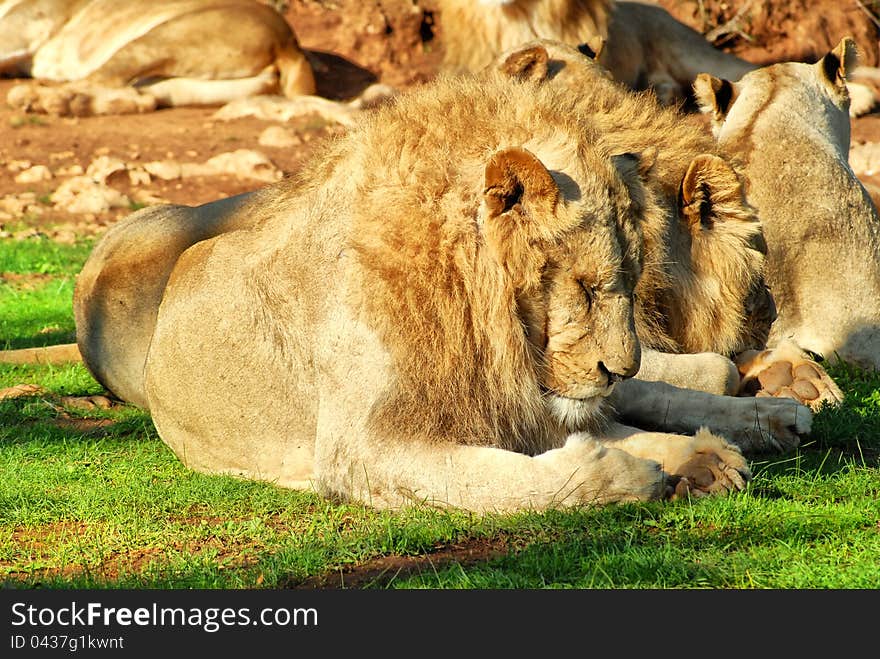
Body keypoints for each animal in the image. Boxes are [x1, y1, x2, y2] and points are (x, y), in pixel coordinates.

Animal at [0, 0, 316, 116]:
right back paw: (67, 103)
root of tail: (290, 44)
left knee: (105, 78)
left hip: (164, 37)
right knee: (143, 98)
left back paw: (41, 98)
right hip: (196, 82)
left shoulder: (18, 31)